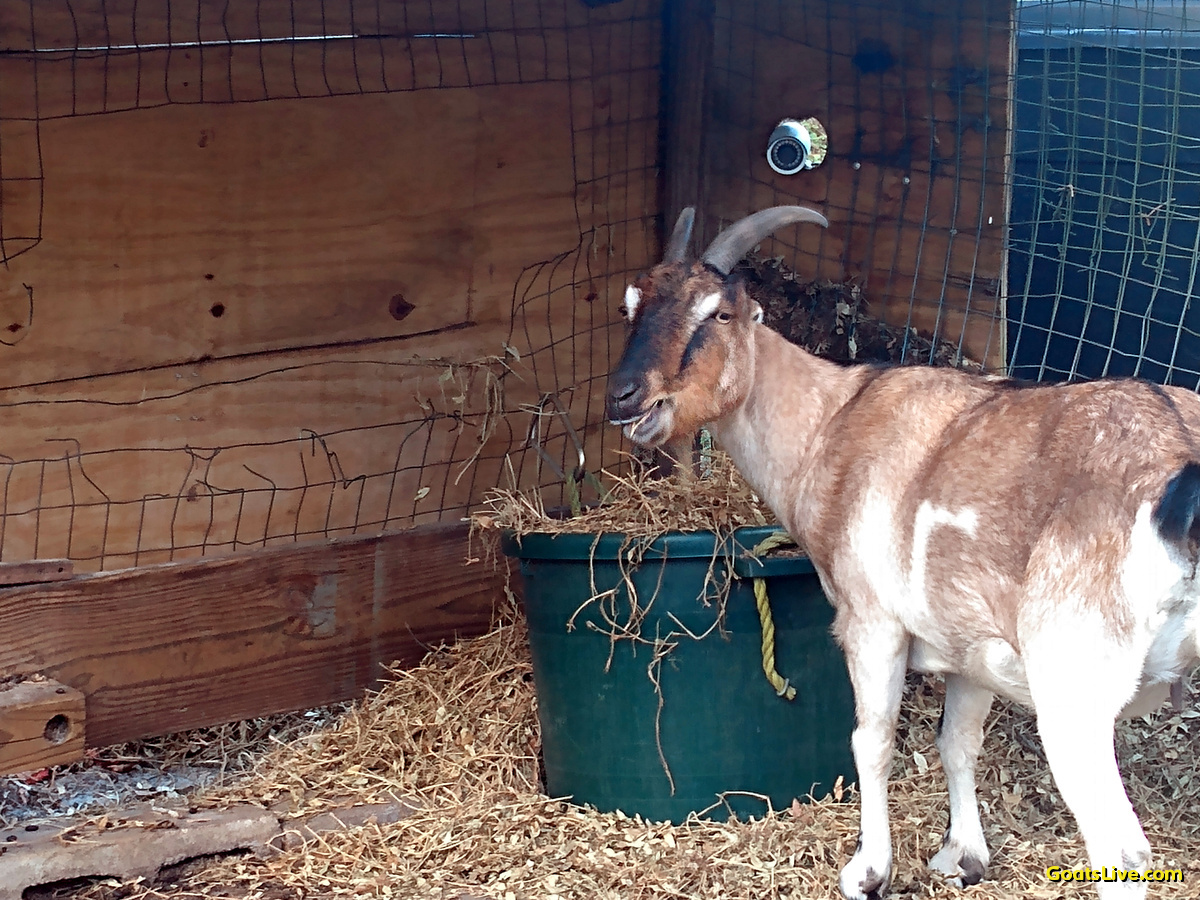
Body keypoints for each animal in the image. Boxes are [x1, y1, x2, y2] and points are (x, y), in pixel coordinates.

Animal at [606, 205, 1200, 900]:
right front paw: (963, 856)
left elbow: (872, 741)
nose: (624, 397)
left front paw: (868, 871)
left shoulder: (873, 624)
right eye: (629, 307)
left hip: (1072, 688)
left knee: (1122, 849)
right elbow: (958, 741)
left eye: (718, 313)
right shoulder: (970, 650)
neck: (829, 422)